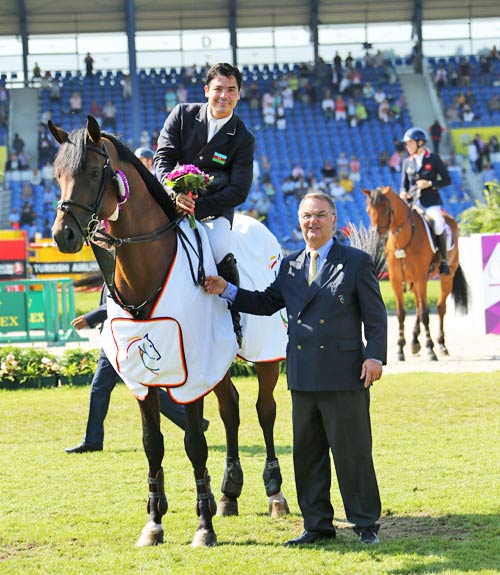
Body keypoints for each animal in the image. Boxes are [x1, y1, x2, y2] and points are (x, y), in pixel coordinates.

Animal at [49, 116, 290, 548]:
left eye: (92, 171)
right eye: (58, 175)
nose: (64, 235)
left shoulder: (189, 371)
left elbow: (194, 443)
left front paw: (203, 527)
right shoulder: (145, 378)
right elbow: (153, 444)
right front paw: (154, 522)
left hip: (265, 356)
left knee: (265, 411)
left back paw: (274, 492)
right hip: (218, 361)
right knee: (231, 410)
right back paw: (229, 493)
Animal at [362, 187, 466, 362]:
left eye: (386, 209)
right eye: (368, 210)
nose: (376, 236)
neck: (402, 240)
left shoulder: (419, 278)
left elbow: (425, 314)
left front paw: (430, 350)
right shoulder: (396, 280)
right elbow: (401, 313)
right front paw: (400, 349)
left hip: (445, 277)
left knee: (439, 307)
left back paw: (441, 345)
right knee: (418, 306)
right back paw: (415, 342)